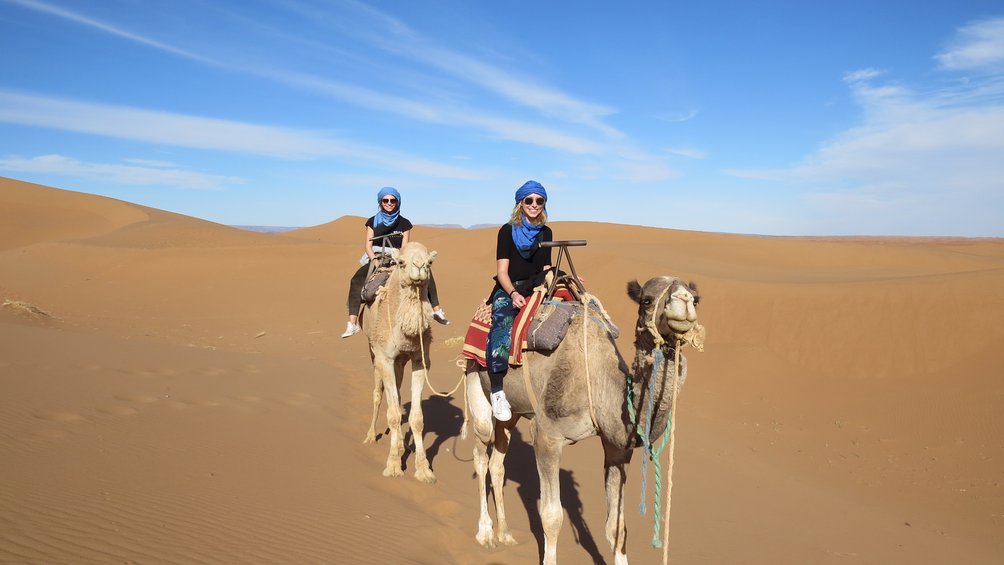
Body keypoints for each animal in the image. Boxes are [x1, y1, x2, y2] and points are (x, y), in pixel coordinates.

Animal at [363, 240, 437, 483]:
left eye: (430, 262)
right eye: (402, 262)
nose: (420, 267)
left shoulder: (419, 360)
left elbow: (417, 418)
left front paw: (423, 470)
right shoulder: (384, 358)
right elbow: (394, 414)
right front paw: (394, 465)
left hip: (400, 362)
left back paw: (402, 445)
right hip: (373, 352)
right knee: (378, 395)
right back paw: (370, 436)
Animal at [463, 276, 706, 561]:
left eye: (696, 299)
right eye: (646, 300)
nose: (683, 300)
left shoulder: (617, 447)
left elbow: (617, 527)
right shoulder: (547, 436)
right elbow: (552, 516)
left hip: (513, 412)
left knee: (498, 462)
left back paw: (506, 534)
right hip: (476, 377)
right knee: (481, 453)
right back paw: (486, 534)